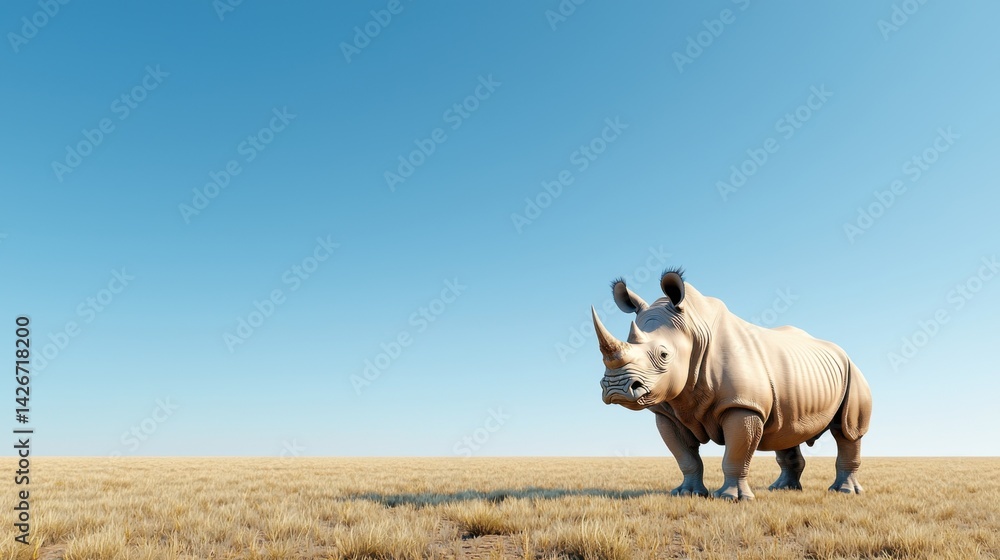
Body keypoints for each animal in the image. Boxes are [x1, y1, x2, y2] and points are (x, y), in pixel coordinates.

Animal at [594, 268, 872, 500]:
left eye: (664, 355)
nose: (616, 389)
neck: (693, 330)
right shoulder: (668, 411)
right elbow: (685, 457)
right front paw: (687, 493)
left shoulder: (743, 405)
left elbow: (736, 453)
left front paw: (732, 498)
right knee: (786, 428)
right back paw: (782, 489)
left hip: (854, 374)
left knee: (847, 431)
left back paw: (845, 492)